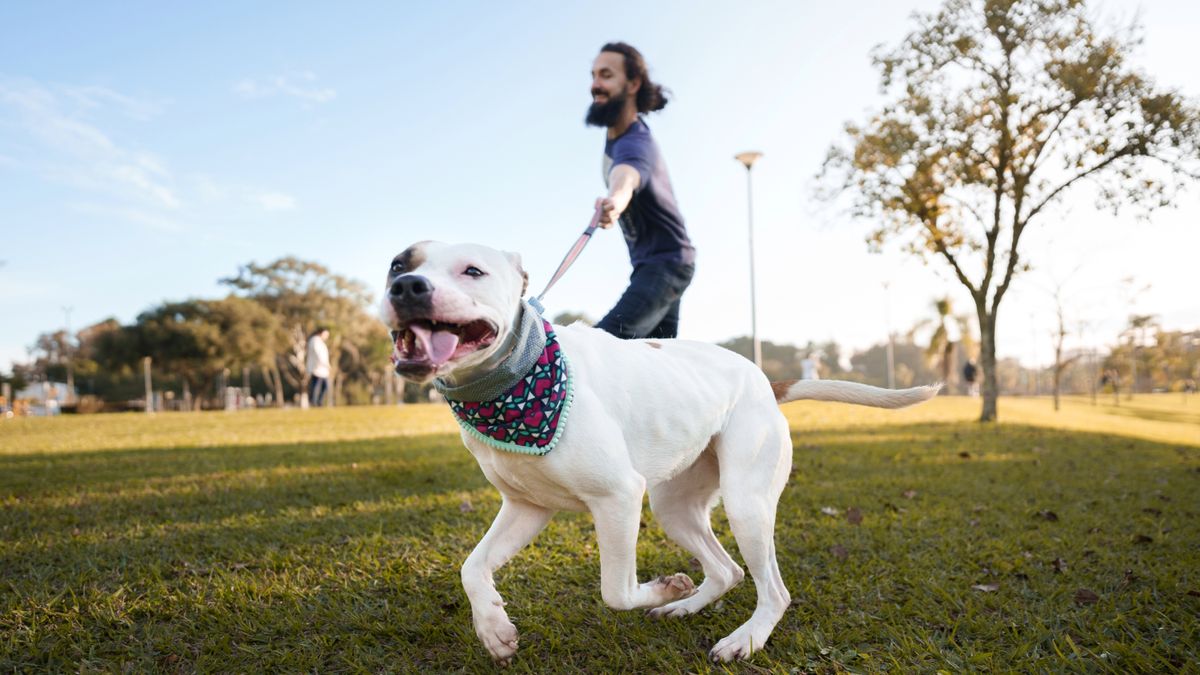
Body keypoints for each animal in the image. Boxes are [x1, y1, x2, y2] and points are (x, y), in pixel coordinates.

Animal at [379, 241, 940, 662]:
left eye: (472, 270)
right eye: (398, 264)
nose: (406, 287)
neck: (510, 387)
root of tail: (763, 377)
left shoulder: (619, 498)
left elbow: (616, 591)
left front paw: (667, 586)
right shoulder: (526, 507)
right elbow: (471, 567)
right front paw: (494, 628)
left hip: (746, 503)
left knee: (773, 589)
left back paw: (743, 638)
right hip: (676, 506)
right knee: (729, 570)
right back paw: (685, 609)